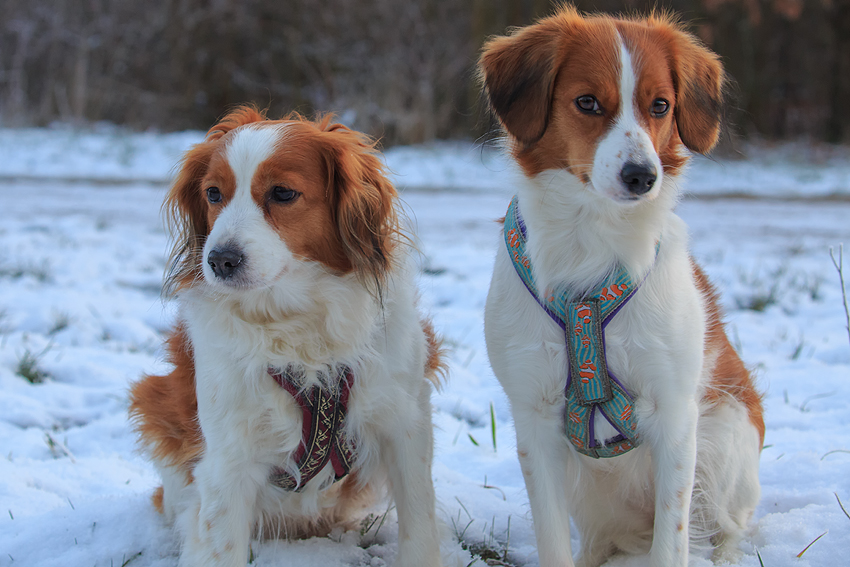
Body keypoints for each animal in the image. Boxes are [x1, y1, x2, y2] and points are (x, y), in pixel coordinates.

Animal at [128, 107, 444, 567]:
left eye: (282, 193)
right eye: (213, 193)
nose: (219, 260)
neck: (297, 324)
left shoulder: (404, 421)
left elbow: (420, 526)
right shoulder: (228, 458)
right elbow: (220, 546)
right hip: (155, 400)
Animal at [480, 7, 764, 567]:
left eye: (661, 105)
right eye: (588, 102)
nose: (642, 176)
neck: (593, 242)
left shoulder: (675, 417)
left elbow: (673, 541)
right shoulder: (534, 419)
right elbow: (552, 540)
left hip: (723, 437)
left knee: (726, 528)